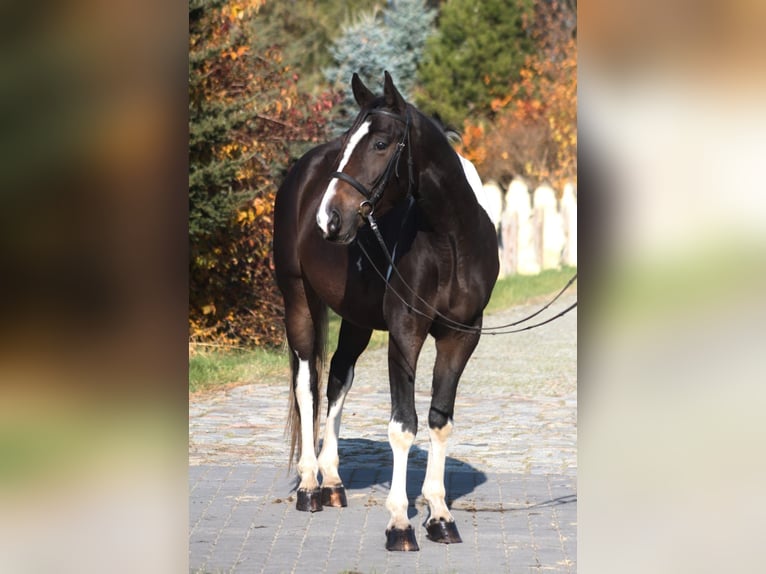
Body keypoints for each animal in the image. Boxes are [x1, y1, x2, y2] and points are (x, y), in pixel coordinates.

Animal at [273, 72, 499, 551]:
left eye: (380, 143)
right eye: (346, 143)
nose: (328, 219)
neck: (451, 240)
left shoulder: (461, 335)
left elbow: (438, 420)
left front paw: (440, 515)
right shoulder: (405, 332)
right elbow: (403, 424)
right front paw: (399, 523)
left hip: (355, 319)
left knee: (337, 379)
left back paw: (333, 482)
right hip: (298, 298)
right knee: (306, 385)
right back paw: (309, 485)